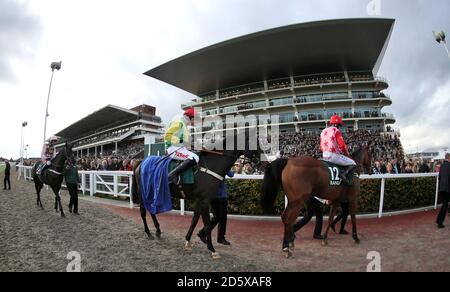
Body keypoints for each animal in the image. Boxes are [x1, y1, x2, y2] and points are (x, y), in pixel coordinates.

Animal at [132, 131, 262, 258]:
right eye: (255, 142)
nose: (260, 161)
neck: (210, 167)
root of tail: (141, 162)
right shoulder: (205, 200)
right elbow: (207, 225)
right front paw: (212, 249)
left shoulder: (200, 200)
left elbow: (194, 221)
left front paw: (188, 242)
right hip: (143, 192)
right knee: (143, 211)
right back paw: (148, 232)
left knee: (151, 210)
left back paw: (158, 230)